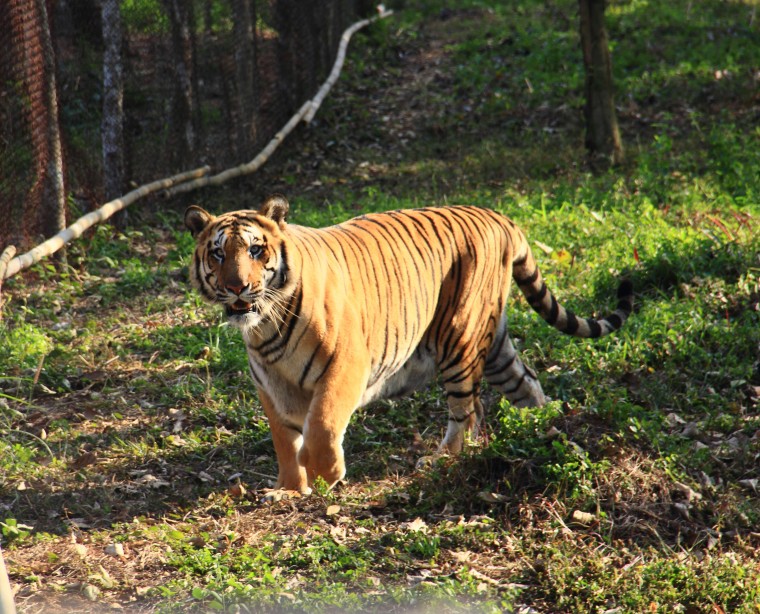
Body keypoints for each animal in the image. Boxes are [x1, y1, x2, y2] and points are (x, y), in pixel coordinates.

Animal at [184, 195, 633, 496]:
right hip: (494, 344)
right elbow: (283, 439)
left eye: (256, 250)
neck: (265, 327)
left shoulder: (347, 364)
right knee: (527, 383)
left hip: (460, 335)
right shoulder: (270, 384)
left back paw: (443, 457)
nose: (236, 287)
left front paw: (327, 474)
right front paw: (290, 489)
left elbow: (323, 425)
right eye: (218, 253)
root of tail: (497, 215)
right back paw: (540, 427)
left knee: (469, 411)